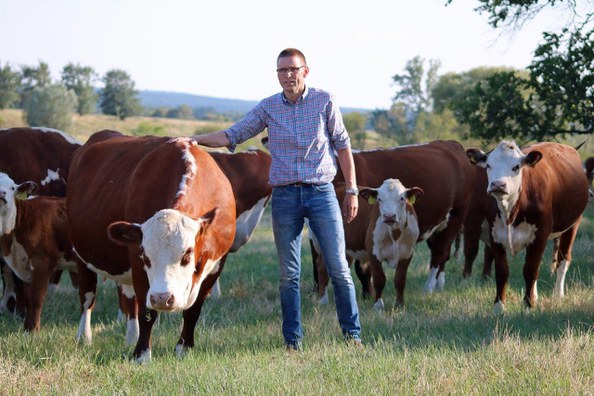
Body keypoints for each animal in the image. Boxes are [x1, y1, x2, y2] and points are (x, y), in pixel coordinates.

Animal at [0, 173, 80, 332]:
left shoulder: (43, 263)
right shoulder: (25, 266)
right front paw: (26, 328)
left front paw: (33, 330)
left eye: (12, 188)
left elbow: (36, 298)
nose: (2, 193)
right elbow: (28, 299)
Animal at [67, 130, 236, 362]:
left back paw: (131, 337)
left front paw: (183, 348)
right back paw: (84, 337)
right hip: (81, 257)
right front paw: (142, 355)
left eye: (187, 254)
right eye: (146, 257)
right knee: (87, 299)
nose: (163, 298)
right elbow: (147, 313)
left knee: (129, 301)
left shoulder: (217, 264)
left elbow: (193, 311)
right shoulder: (137, 263)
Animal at [468, 141, 588, 310]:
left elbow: (530, 270)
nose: (498, 184)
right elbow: (502, 272)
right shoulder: (495, 236)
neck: (509, 212)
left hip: (572, 224)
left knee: (563, 260)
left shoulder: (539, 236)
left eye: (516, 167)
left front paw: (528, 305)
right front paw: (499, 307)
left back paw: (558, 295)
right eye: (488, 165)